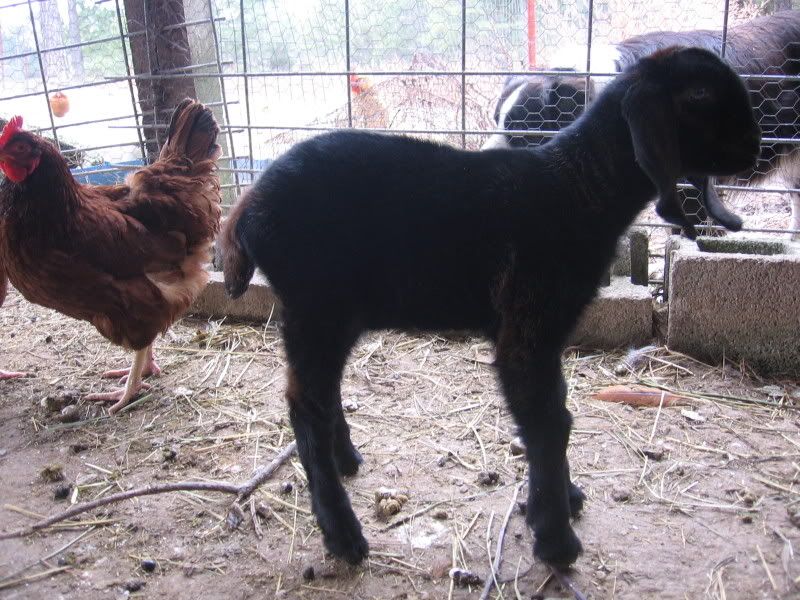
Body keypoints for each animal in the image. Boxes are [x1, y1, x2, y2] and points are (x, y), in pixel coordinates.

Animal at [221, 47, 759, 567]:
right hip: (317, 307)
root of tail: (246, 208)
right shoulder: (527, 325)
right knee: (305, 406)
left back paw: (346, 460)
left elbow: (556, 412)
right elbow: (548, 422)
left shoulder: (546, 332)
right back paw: (342, 534)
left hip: (336, 314)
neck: (580, 187)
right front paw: (555, 538)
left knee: (322, 392)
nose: (756, 145)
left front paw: (564, 499)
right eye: (699, 94)